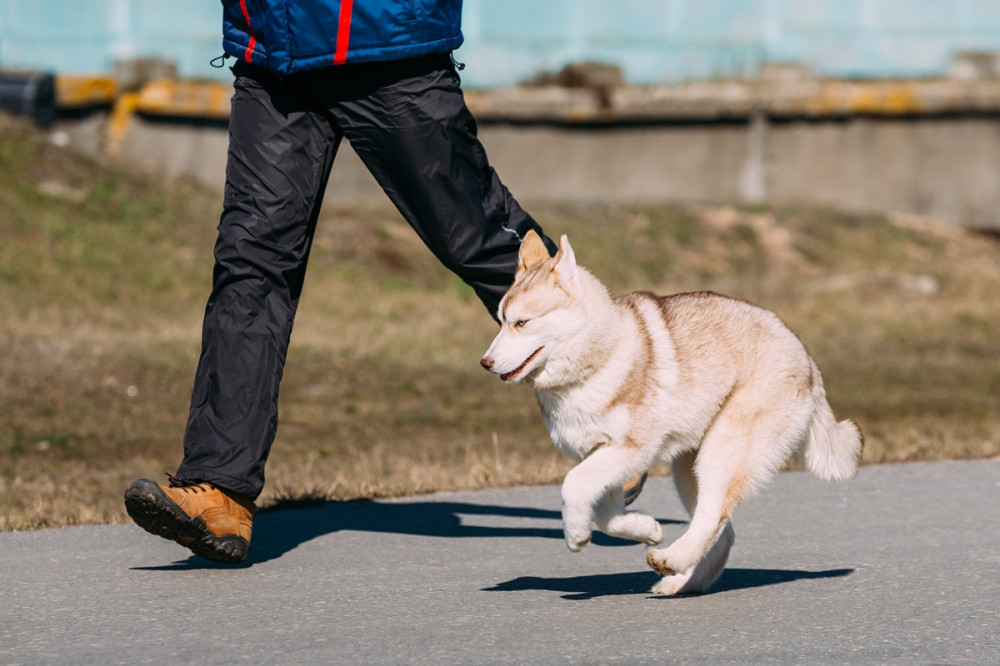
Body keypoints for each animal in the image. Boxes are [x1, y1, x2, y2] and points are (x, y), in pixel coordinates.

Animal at [480, 231, 864, 592]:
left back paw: (672, 559)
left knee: (712, 516)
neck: (598, 362)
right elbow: (606, 515)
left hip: (723, 450)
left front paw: (575, 535)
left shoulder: (631, 450)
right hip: (687, 467)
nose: (485, 363)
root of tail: (806, 356)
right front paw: (646, 529)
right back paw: (682, 584)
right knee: (722, 532)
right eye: (500, 320)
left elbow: (573, 486)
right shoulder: (597, 455)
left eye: (521, 323)